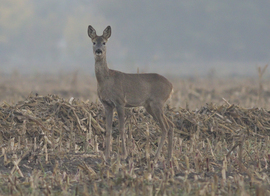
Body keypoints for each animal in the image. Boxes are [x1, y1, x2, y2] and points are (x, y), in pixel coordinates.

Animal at [87, 25, 174, 162]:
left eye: (104, 42)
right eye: (94, 42)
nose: (99, 51)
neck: (106, 79)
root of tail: (171, 86)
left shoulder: (120, 102)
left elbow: (122, 129)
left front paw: (124, 154)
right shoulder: (107, 105)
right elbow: (108, 130)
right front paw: (106, 155)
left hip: (157, 103)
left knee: (165, 127)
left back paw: (156, 157)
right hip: (149, 106)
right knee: (170, 125)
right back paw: (168, 157)